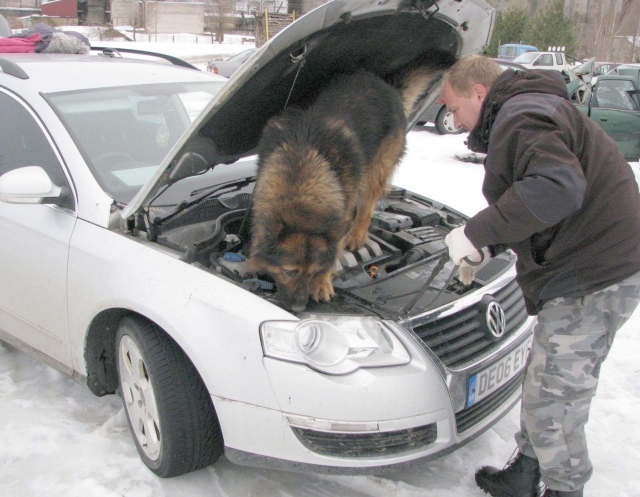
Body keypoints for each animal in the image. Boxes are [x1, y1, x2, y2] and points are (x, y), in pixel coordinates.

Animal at [248, 56, 452, 310]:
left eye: (313, 272)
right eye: (290, 271)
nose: (299, 308)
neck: (301, 176)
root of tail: (388, 88)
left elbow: (333, 251)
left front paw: (322, 283)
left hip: (374, 171)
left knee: (366, 207)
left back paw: (356, 236)